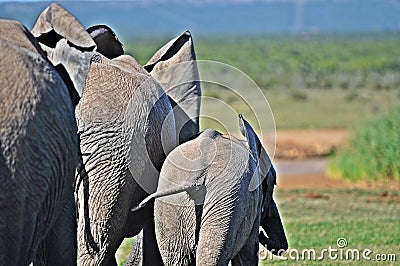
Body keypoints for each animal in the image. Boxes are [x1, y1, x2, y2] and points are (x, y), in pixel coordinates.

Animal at [134, 115, 288, 264]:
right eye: (273, 184)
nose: (262, 234)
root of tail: (197, 178)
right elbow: (247, 253)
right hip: (227, 203)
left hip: (171, 205)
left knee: (178, 257)